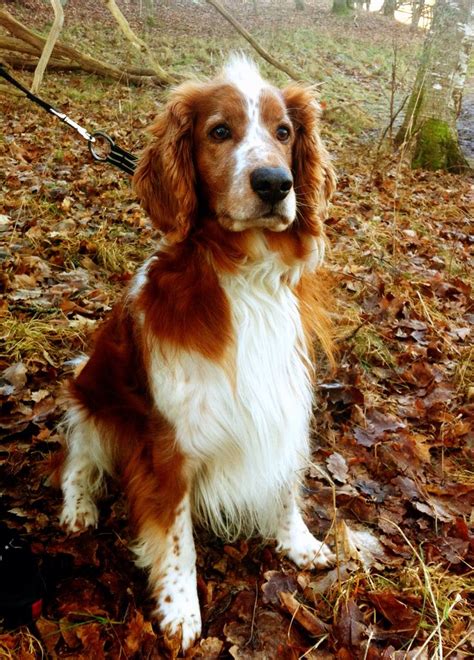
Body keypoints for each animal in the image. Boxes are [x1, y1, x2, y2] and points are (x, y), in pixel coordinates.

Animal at [61, 55, 336, 648]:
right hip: (92, 400)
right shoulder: (169, 442)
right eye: (219, 132)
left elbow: (285, 484)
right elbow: (176, 538)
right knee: (74, 463)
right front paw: (180, 611)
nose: (275, 183)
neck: (244, 275)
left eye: (284, 132)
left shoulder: (282, 398)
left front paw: (298, 543)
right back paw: (77, 509)